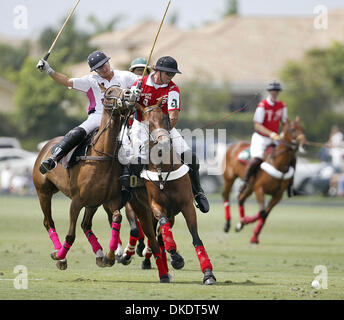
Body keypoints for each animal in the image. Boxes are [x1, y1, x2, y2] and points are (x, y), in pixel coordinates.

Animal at [33, 84, 133, 268]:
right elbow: (70, 235)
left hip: (93, 202)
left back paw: (100, 254)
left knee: (86, 224)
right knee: (49, 222)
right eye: (109, 92)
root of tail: (47, 146)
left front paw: (110, 255)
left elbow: (117, 217)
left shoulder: (111, 200)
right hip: (43, 192)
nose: (128, 95)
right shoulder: (76, 201)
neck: (103, 155)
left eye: (124, 87)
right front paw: (59, 257)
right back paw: (60, 255)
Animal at [125, 101, 216, 284]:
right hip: (141, 210)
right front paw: (176, 256)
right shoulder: (156, 206)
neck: (164, 168)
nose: (164, 142)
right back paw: (162, 271)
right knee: (153, 239)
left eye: (166, 118)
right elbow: (163, 227)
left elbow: (195, 238)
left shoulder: (186, 206)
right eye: (147, 123)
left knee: (158, 239)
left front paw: (208, 273)